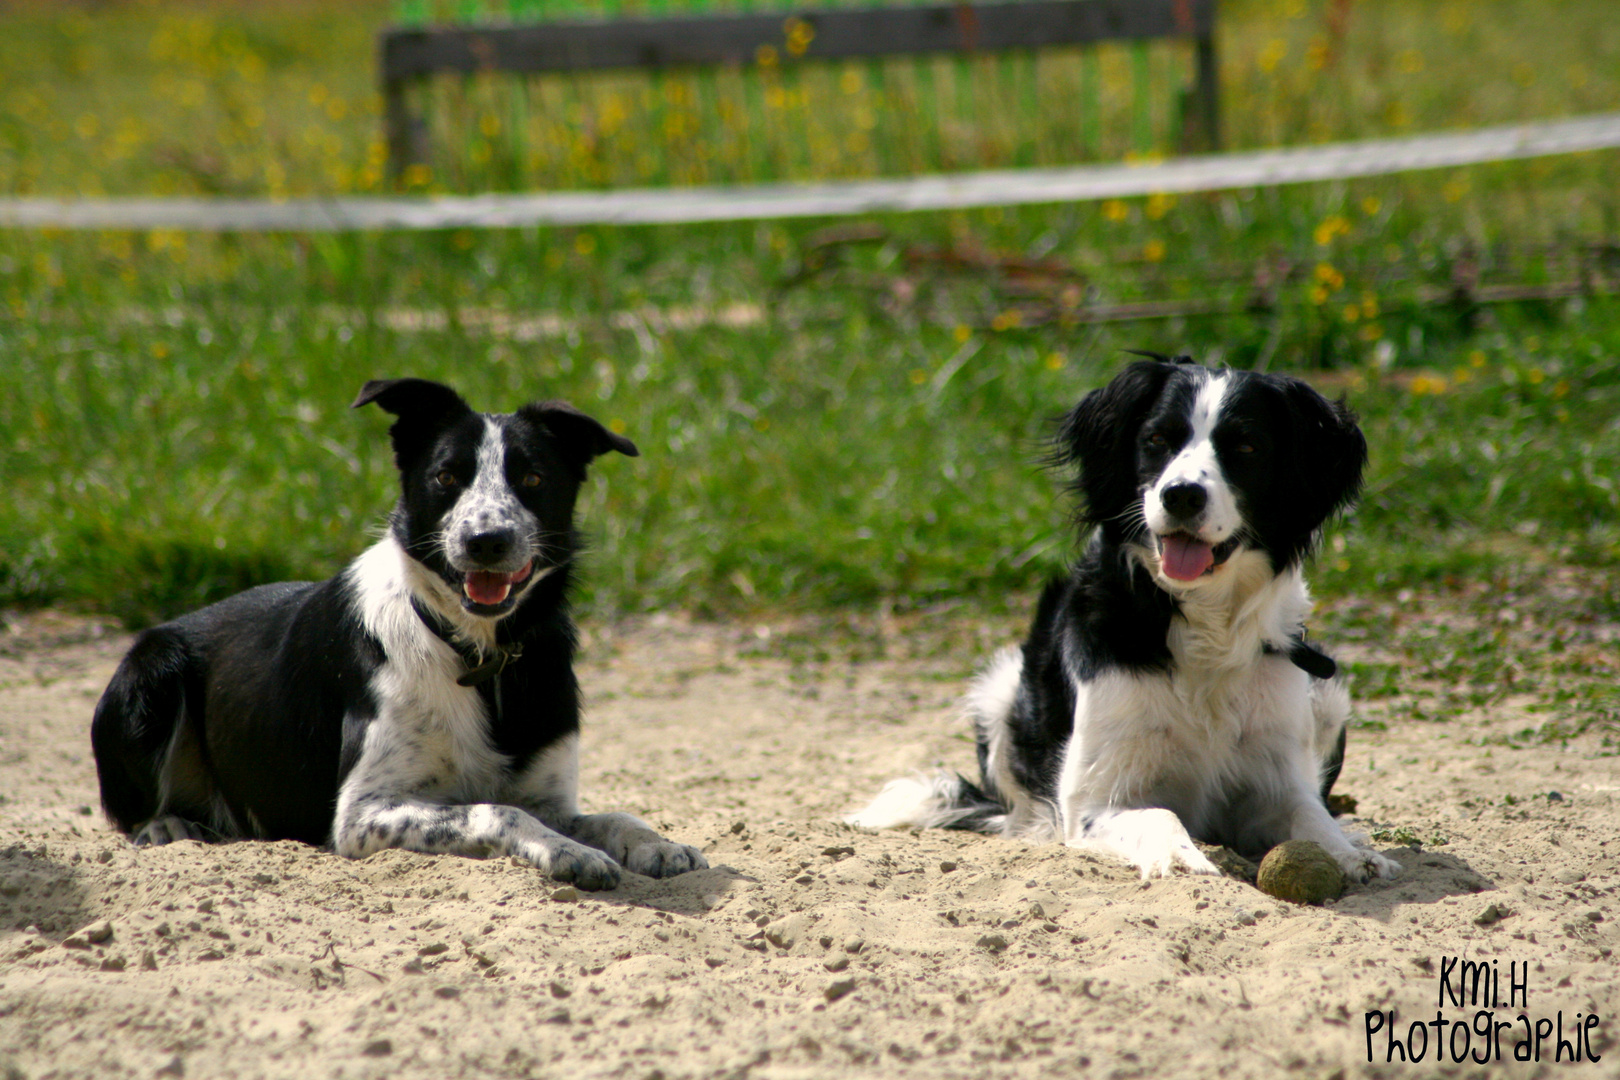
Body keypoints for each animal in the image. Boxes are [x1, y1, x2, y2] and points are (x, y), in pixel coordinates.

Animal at [91, 378, 706, 887]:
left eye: (533, 478)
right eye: (446, 477)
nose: (487, 541)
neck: (475, 655)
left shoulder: (550, 795)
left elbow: (610, 814)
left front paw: (655, 843)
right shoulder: (362, 813)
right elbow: (498, 810)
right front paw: (567, 853)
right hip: (151, 669)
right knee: (133, 810)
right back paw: (167, 827)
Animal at [855, 359, 1399, 880]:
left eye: (1246, 446)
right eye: (1157, 440)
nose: (1182, 495)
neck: (1202, 624)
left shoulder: (1274, 777)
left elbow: (1309, 813)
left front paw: (1350, 853)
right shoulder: (1097, 799)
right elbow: (1160, 814)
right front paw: (1181, 857)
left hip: (1326, 694)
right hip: (1001, 688)